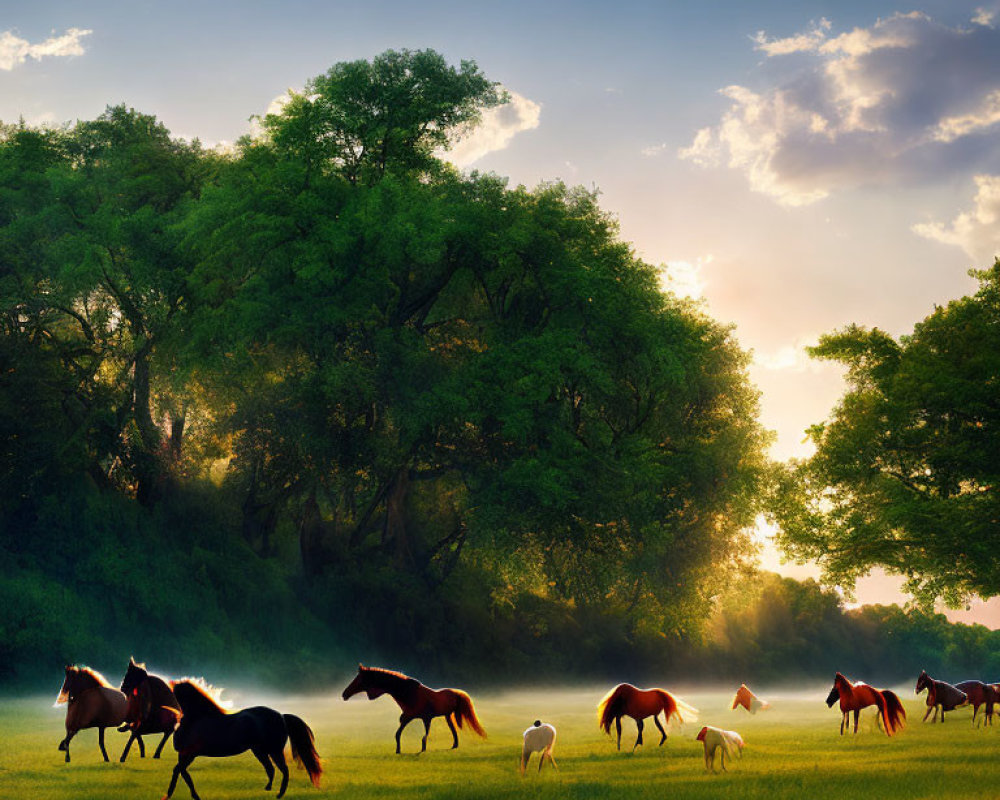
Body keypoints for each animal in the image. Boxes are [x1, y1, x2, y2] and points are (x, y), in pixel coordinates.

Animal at [163, 680, 320, 800]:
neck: (197, 719)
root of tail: (281, 716)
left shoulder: (189, 753)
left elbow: (182, 772)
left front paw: (189, 796)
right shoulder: (186, 755)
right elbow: (180, 772)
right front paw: (170, 795)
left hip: (274, 750)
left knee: (284, 770)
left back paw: (279, 794)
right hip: (260, 751)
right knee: (271, 769)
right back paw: (267, 789)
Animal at [340, 664, 488, 752]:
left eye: (358, 680)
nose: (344, 694)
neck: (408, 694)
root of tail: (457, 692)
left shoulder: (424, 718)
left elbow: (423, 737)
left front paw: (422, 750)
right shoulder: (408, 717)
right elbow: (398, 734)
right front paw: (398, 751)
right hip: (447, 716)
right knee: (453, 731)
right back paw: (454, 745)